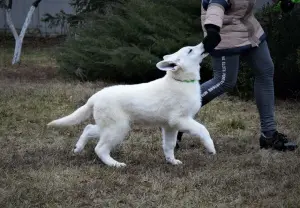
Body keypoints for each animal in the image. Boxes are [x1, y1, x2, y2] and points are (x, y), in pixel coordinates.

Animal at [48, 42, 216, 167]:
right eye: (190, 50)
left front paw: (172, 161)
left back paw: (78, 148)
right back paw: (115, 164)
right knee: (100, 148)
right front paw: (211, 148)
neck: (181, 81)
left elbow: (169, 145)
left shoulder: (170, 126)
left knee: (89, 128)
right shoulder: (180, 119)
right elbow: (203, 129)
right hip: (118, 127)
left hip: (110, 125)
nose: (204, 43)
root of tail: (94, 98)